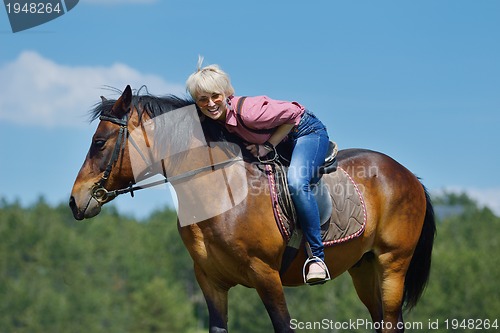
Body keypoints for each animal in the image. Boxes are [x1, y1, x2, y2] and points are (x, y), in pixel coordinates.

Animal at [69, 86, 434, 332]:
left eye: (99, 143)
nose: (74, 201)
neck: (220, 194)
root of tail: (409, 176)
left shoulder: (265, 275)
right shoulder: (210, 281)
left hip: (392, 264)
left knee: (391, 321)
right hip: (363, 267)